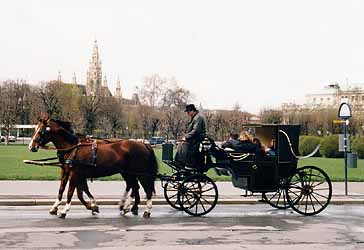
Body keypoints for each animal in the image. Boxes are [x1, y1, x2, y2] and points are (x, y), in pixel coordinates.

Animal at [28, 116, 158, 218]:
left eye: (41, 131)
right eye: (35, 129)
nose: (31, 146)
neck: (72, 147)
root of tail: (143, 143)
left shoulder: (74, 174)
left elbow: (71, 192)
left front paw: (65, 210)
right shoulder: (66, 172)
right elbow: (65, 190)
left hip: (140, 173)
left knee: (146, 189)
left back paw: (146, 210)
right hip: (127, 172)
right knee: (133, 186)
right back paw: (126, 207)